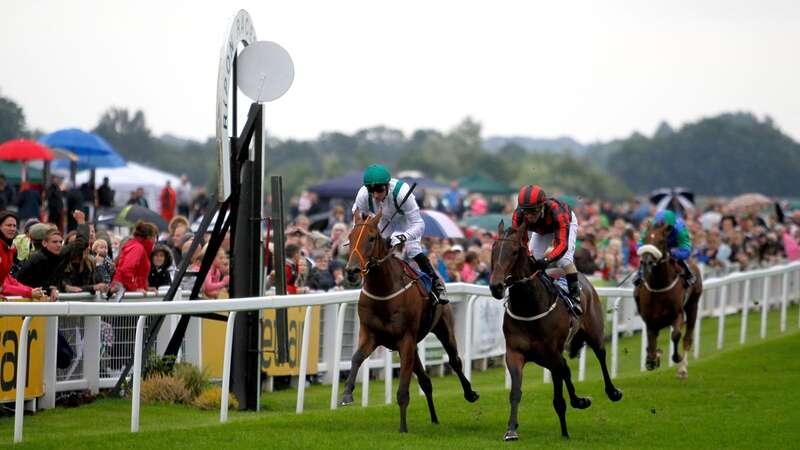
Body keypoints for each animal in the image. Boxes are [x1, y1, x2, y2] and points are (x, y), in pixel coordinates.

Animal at [340, 209, 478, 434]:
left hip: (443, 329)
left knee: (454, 361)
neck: (384, 291)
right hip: (412, 346)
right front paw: (346, 394)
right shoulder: (371, 334)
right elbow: (356, 358)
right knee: (425, 380)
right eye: (350, 238)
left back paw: (470, 393)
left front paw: (403, 427)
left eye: (371, 238)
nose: (351, 271)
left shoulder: (405, 339)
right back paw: (434, 418)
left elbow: (403, 389)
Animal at [484, 221, 620, 440]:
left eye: (514, 252)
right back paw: (579, 400)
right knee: (566, 369)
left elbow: (558, 400)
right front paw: (511, 429)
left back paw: (612, 392)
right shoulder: (515, 353)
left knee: (600, 355)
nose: (495, 286)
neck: (529, 305)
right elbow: (515, 392)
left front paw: (564, 432)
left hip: (594, 333)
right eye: (494, 249)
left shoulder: (552, 354)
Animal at [636, 221, 704, 376]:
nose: (646, 262)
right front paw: (652, 359)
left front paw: (676, 357)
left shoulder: (677, 314)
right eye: (645, 239)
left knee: (687, 338)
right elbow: (651, 339)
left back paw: (683, 369)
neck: (659, 286)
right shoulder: (649, 318)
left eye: (661, 241)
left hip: (693, 305)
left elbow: (676, 335)